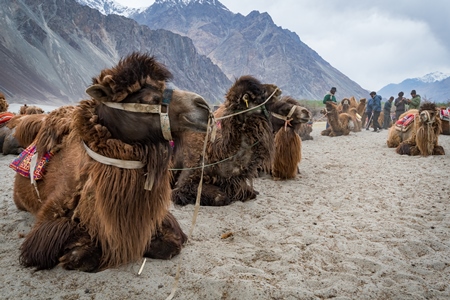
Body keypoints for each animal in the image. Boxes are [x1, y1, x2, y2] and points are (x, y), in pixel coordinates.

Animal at [11, 52, 212, 274]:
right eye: (146, 99)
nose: (203, 106)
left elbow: (171, 242)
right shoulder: (48, 220)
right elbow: (69, 247)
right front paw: (78, 252)